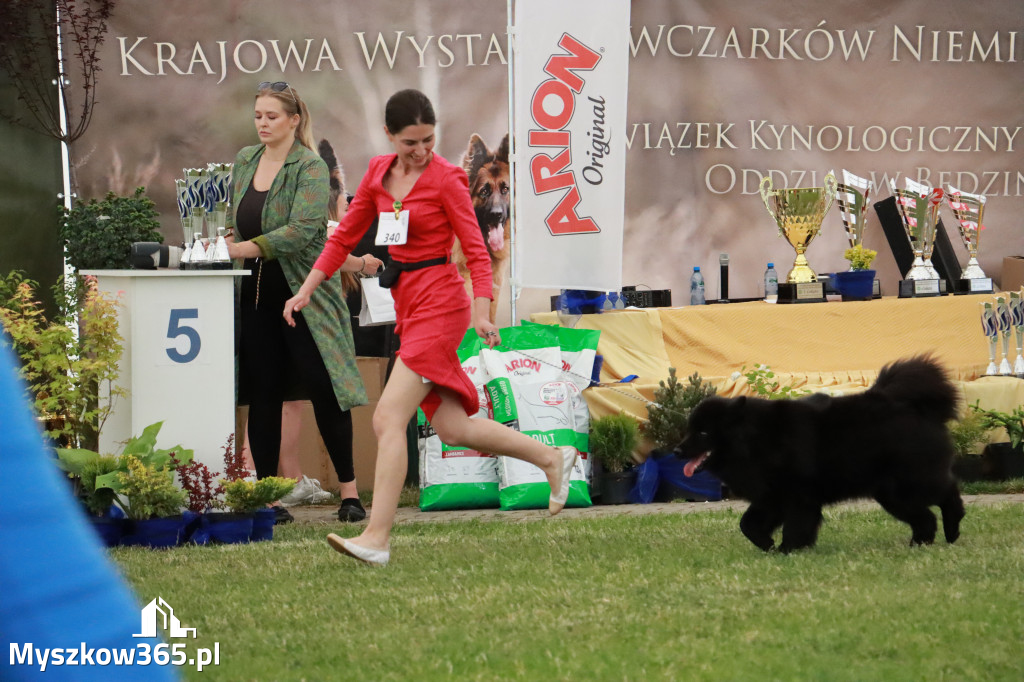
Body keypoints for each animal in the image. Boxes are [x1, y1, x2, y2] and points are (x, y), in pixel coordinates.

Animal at [675, 356, 962, 552]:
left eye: (703, 433)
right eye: (689, 429)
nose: (677, 451)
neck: (758, 440)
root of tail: (913, 406)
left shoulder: (798, 497)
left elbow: (795, 527)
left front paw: (787, 550)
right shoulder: (772, 497)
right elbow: (748, 524)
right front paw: (768, 545)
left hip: (907, 485)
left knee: (947, 492)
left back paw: (952, 527)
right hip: (892, 495)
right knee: (925, 518)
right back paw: (920, 543)